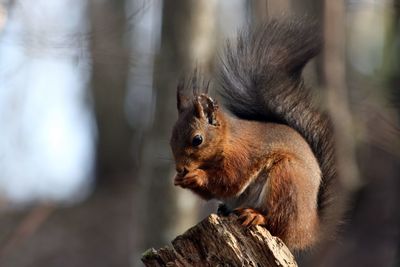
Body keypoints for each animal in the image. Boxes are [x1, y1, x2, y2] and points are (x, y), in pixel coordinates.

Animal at [169, 19, 338, 251]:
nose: (181, 169)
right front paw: (180, 179)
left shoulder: (242, 156)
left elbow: (229, 180)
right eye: (171, 140)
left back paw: (256, 216)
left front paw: (197, 176)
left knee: (278, 223)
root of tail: (308, 228)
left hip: (287, 180)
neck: (227, 141)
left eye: (197, 140)